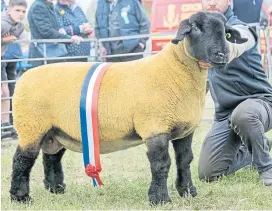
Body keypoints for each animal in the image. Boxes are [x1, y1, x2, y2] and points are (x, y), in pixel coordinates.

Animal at [10, 11, 246, 204]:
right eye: (195, 28)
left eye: (225, 32)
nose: (222, 55)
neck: (173, 70)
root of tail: (25, 77)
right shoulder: (155, 127)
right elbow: (161, 164)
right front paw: (160, 199)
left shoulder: (184, 130)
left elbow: (184, 160)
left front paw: (188, 192)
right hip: (31, 126)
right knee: (22, 160)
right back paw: (21, 197)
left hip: (54, 130)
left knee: (51, 157)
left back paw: (56, 188)